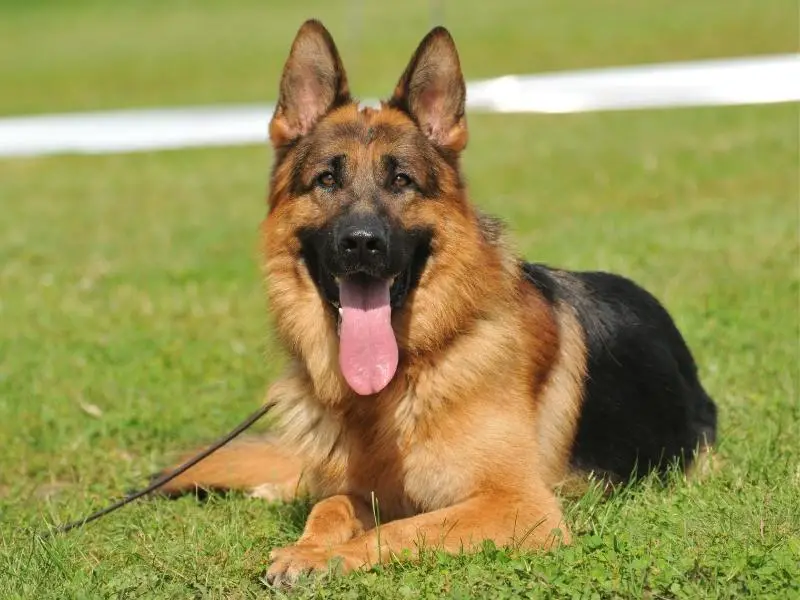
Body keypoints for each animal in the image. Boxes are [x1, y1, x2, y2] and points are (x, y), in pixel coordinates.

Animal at [161, 19, 720, 584]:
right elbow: (330, 505)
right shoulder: (364, 491)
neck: (405, 377)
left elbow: (402, 529)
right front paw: (308, 545)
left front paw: (323, 556)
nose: (361, 243)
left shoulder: (520, 507)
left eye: (401, 179)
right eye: (327, 179)